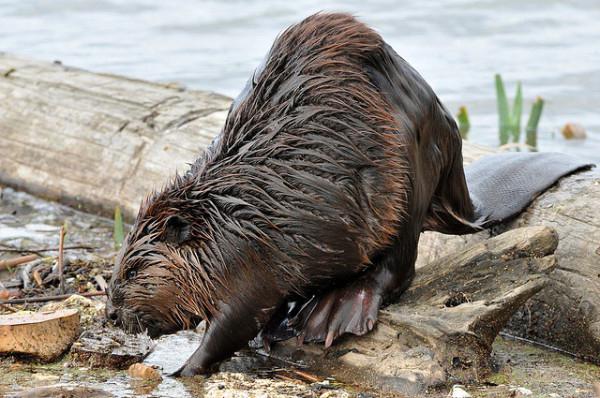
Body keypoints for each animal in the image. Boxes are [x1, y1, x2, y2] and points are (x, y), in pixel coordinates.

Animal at [106, 12, 592, 376]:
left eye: (131, 271)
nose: (110, 313)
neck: (228, 213)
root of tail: (466, 195)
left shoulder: (250, 261)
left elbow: (235, 321)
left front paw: (183, 369)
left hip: (408, 173)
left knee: (397, 266)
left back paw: (333, 311)